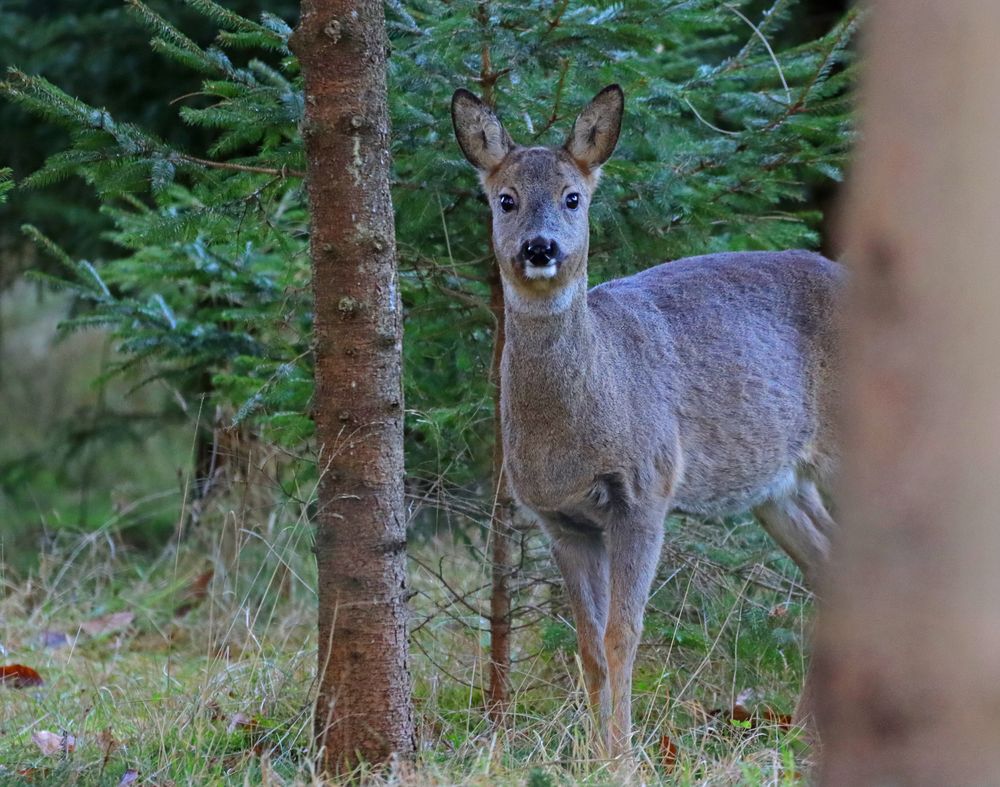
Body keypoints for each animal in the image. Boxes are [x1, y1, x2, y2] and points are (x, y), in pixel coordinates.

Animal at [454, 84, 844, 756]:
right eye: (505, 199)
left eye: (573, 197)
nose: (540, 248)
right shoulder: (559, 518)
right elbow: (588, 643)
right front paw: (593, 752)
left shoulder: (646, 488)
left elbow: (624, 632)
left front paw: (624, 755)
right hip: (777, 485)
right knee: (830, 566)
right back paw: (800, 733)